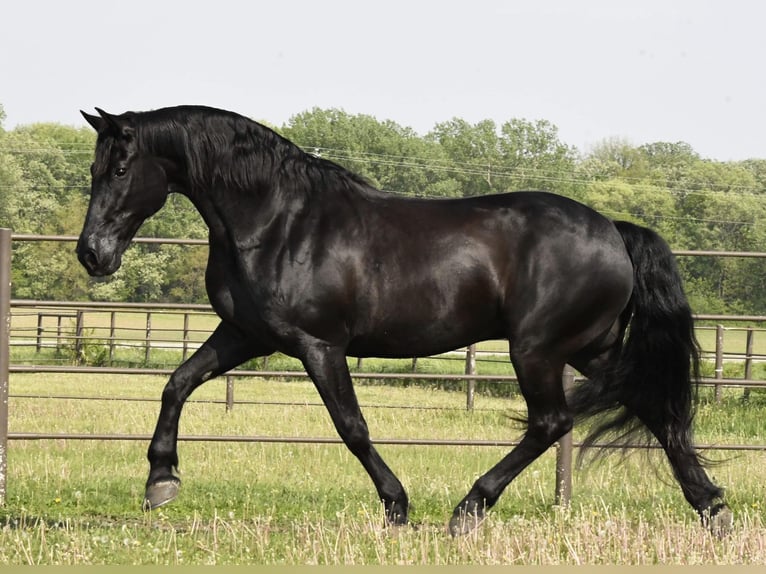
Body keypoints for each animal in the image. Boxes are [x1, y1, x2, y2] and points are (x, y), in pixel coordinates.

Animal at [76, 106, 732, 536]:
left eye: (119, 169)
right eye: (93, 169)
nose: (92, 254)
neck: (279, 221)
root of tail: (614, 231)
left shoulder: (318, 345)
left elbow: (352, 427)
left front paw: (396, 506)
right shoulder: (245, 335)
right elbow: (177, 383)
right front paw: (161, 480)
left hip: (537, 350)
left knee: (552, 422)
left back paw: (468, 509)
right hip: (589, 349)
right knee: (658, 413)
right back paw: (713, 510)